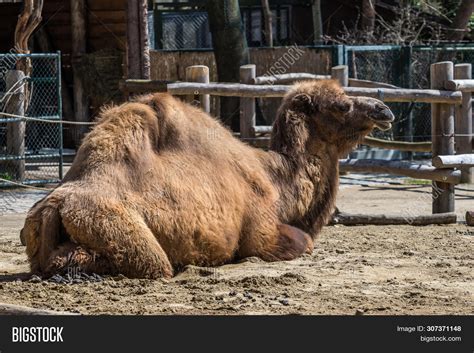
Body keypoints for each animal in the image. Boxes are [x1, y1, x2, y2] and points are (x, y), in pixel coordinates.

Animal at [20, 80, 394, 278]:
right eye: (341, 105)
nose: (383, 109)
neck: (276, 181)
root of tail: (55, 205)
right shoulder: (262, 236)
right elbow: (303, 242)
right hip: (131, 239)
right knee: (148, 263)